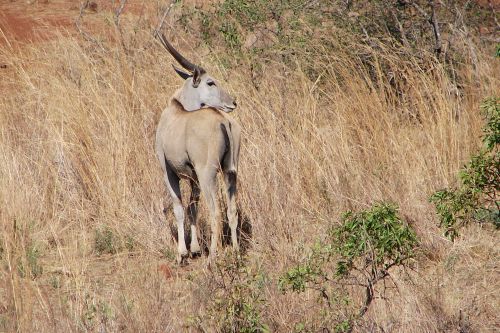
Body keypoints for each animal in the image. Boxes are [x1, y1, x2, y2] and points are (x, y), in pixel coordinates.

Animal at [156, 31, 242, 264]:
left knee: (216, 212)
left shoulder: (169, 172)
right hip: (230, 172)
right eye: (211, 82)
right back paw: (236, 254)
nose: (233, 102)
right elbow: (193, 207)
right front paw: (194, 248)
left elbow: (179, 208)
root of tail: (224, 121)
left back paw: (212, 257)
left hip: (208, 174)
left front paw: (182, 253)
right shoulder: (192, 177)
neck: (177, 109)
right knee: (231, 210)